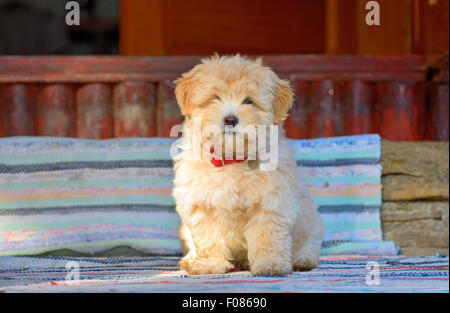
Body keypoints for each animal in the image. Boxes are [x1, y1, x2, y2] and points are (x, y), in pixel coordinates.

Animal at [171, 54, 324, 274]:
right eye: (215, 98)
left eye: (249, 101)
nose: (230, 119)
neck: (232, 158)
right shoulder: (199, 203)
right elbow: (207, 237)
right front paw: (209, 263)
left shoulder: (271, 202)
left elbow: (267, 235)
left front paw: (270, 263)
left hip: (310, 221)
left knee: (310, 242)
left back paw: (302, 259)